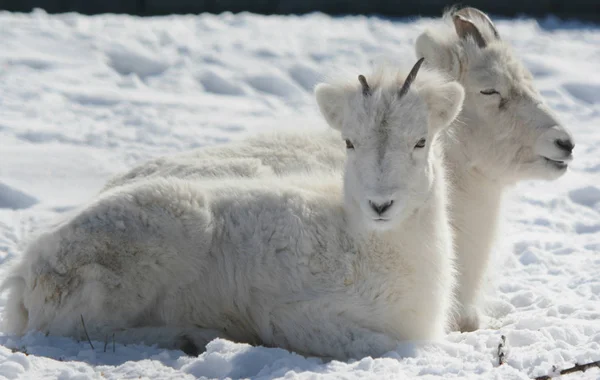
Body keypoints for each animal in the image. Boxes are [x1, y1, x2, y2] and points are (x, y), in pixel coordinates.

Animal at [1, 59, 464, 360]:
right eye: (349, 142)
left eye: (421, 141)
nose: (380, 204)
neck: (369, 249)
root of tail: (26, 275)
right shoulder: (290, 315)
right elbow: (382, 345)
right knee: (92, 331)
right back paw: (194, 336)